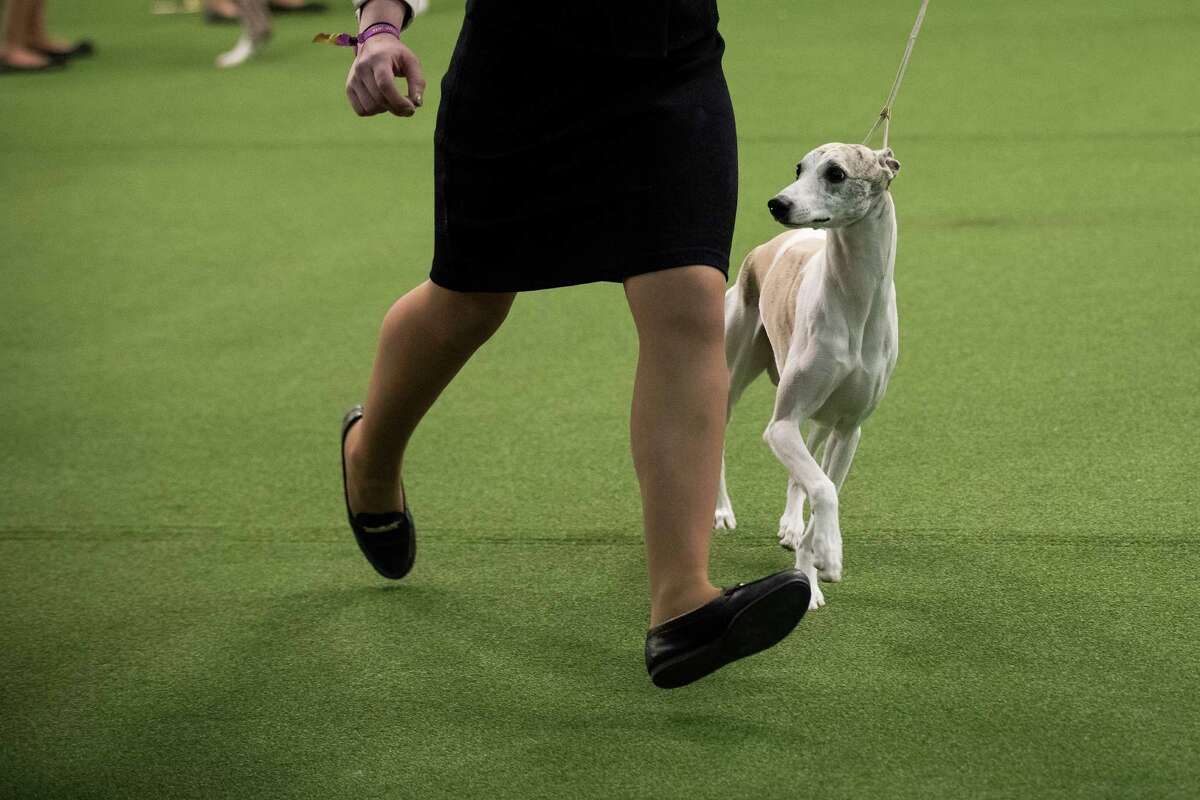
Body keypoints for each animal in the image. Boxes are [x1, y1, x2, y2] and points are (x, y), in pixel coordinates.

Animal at [710, 142, 902, 614]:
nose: (777, 203)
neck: (855, 302)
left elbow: (824, 487)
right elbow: (823, 489)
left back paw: (791, 525)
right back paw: (720, 512)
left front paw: (813, 564)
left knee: (807, 467)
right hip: (733, 370)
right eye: (799, 168)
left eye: (835, 173)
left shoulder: (849, 430)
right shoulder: (780, 426)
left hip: (821, 419)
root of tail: (768, 246)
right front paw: (827, 560)